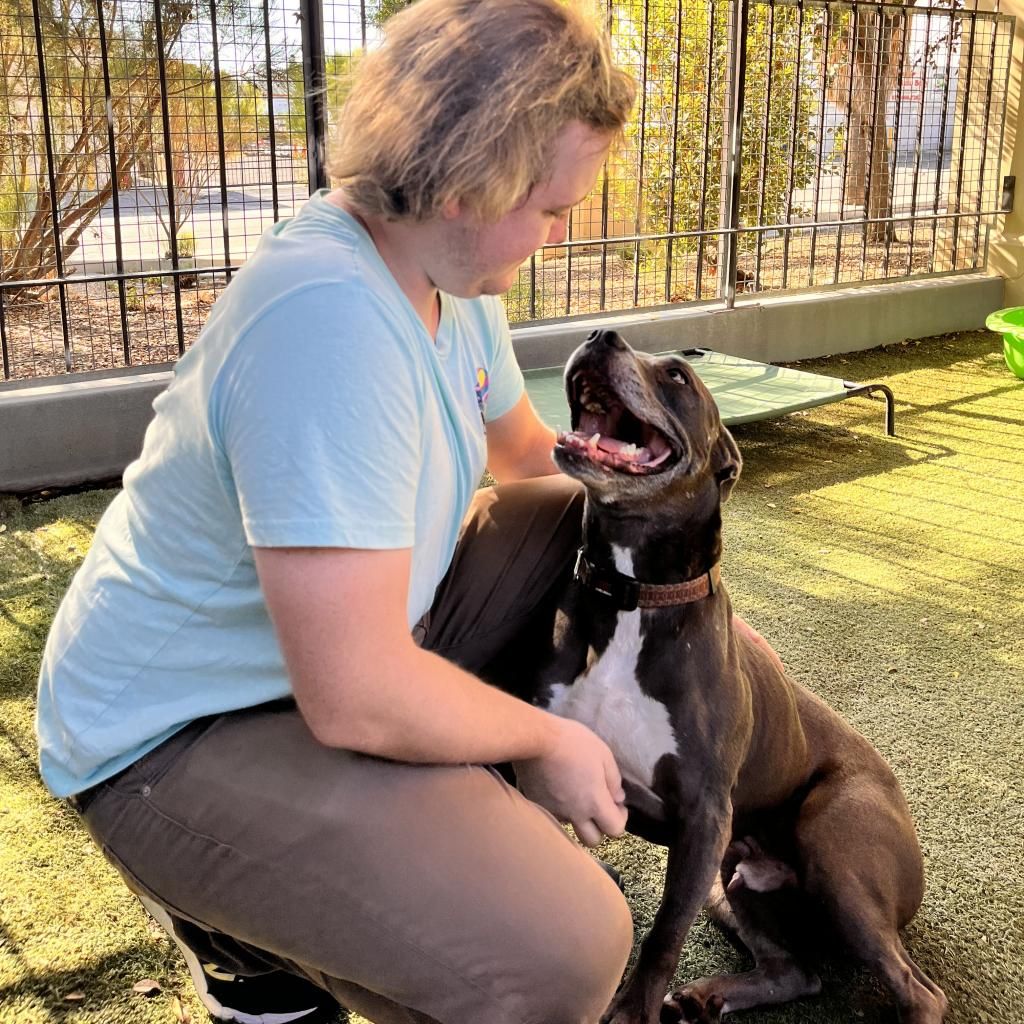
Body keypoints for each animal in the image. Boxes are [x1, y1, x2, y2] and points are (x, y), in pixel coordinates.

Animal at [514, 330, 947, 1024]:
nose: (602, 335)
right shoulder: (550, 768)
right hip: (731, 881)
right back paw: (706, 997)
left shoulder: (704, 817)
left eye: (677, 376)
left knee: (919, 991)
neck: (635, 595)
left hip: (835, 856)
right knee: (796, 970)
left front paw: (632, 1011)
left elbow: (662, 936)